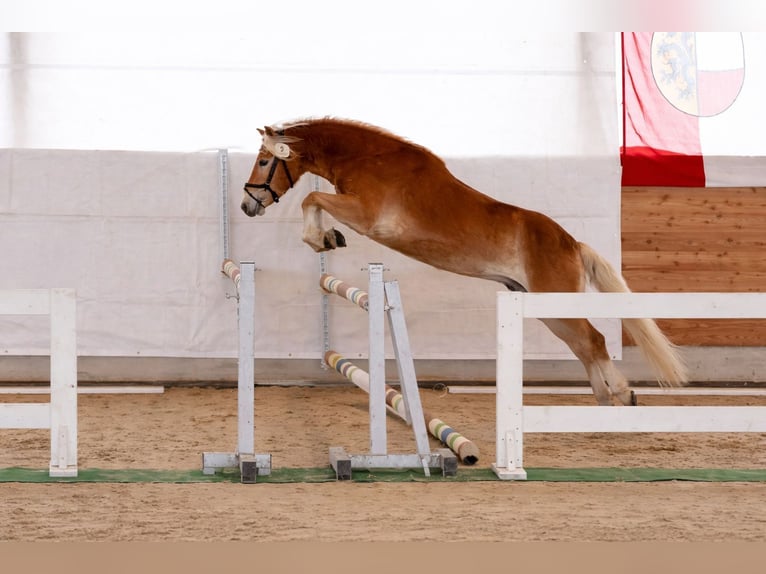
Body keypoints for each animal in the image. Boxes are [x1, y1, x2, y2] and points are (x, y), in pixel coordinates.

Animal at [241, 117, 687, 405]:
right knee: (583, 345)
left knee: (593, 341)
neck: (369, 159)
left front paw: (322, 239)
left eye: (264, 161)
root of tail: (572, 243)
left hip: (556, 300)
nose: (248, 205)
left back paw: (620, 394)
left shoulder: (367, 217)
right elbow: (314, 201)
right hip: (544, 307)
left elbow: (311, 198)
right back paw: (605, 396)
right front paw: (326, 238)